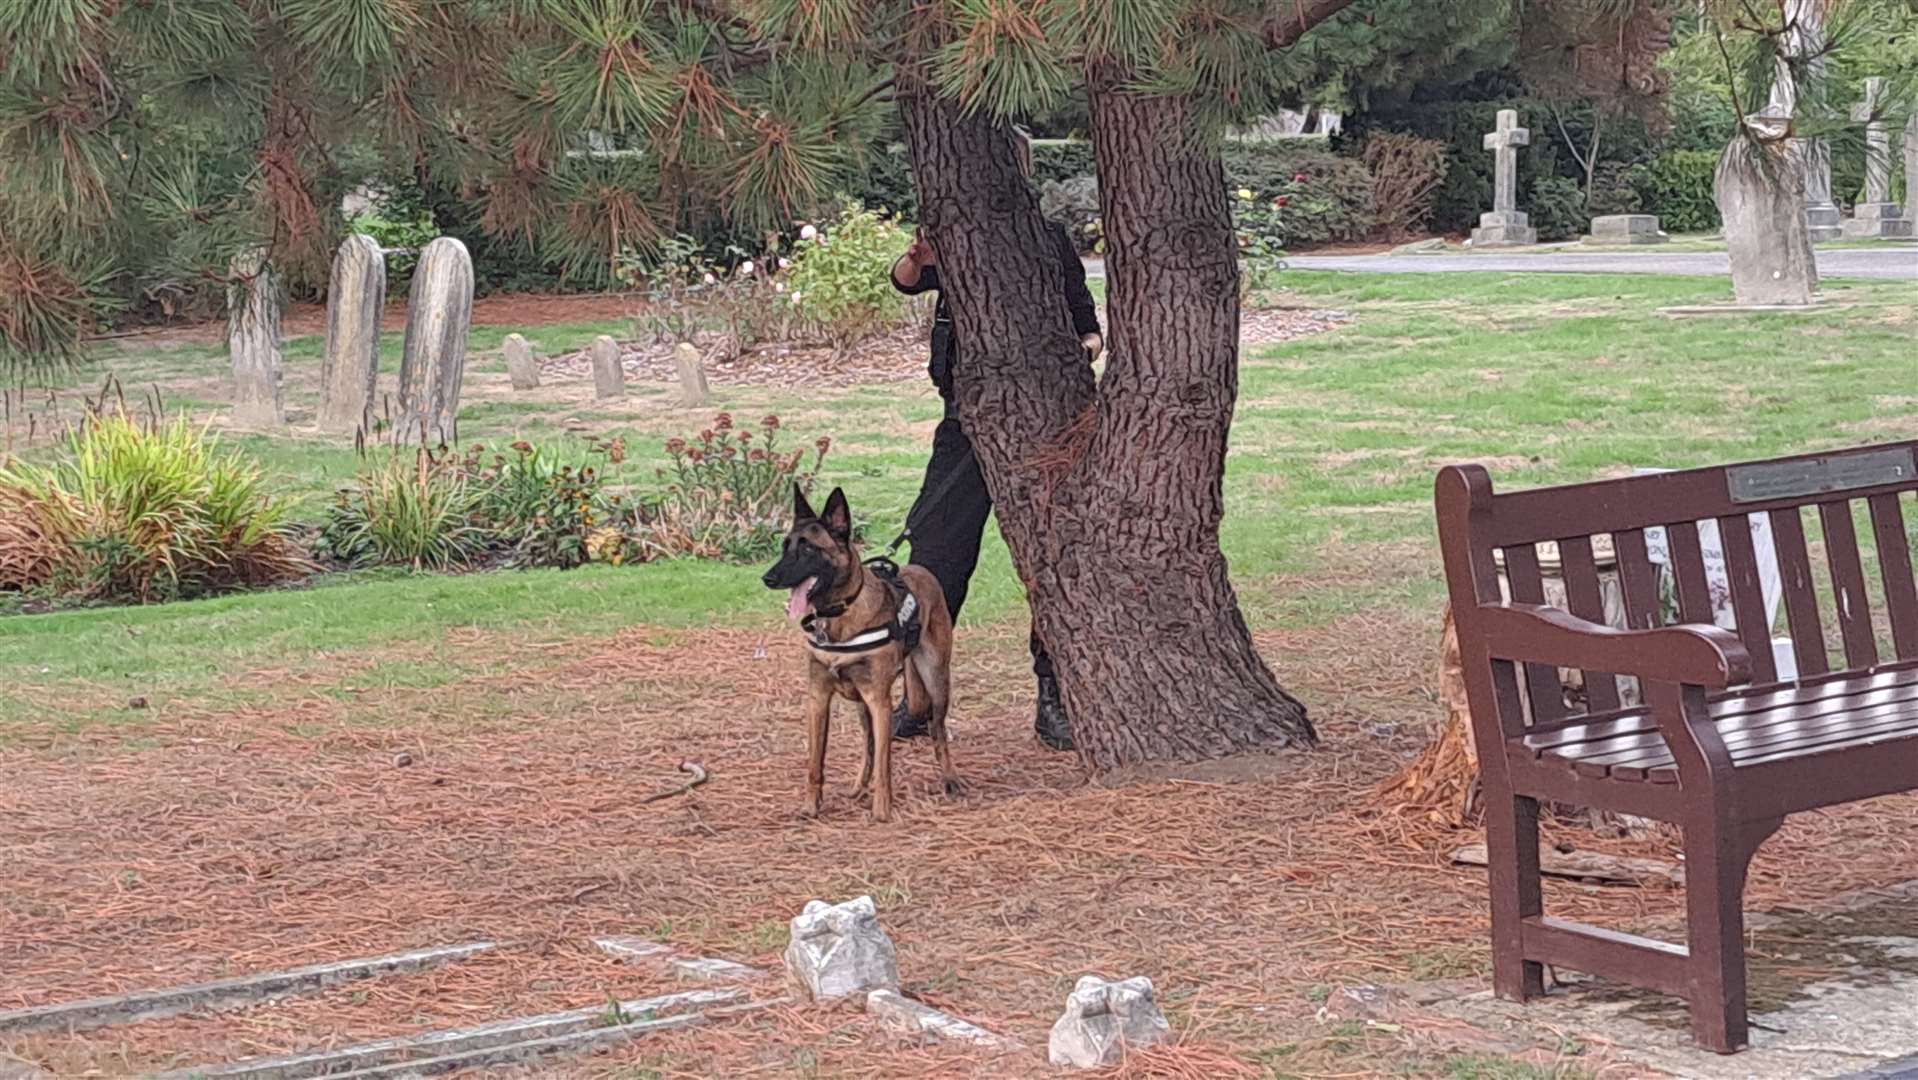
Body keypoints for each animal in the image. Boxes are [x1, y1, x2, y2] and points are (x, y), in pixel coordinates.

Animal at [755, 485, 951, 824]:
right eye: (785, 546)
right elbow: (815, 763)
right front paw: (811, 806)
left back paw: (950, 778)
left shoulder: (879, 701)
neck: (840, 614)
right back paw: (859, 786)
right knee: (869, 746)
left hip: (935, 681)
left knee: (937, 730)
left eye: (809, 550)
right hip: (863, 706)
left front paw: (882, 810)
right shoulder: (818, 698)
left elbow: (886, 765)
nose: (768, 578)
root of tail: (921, 571)